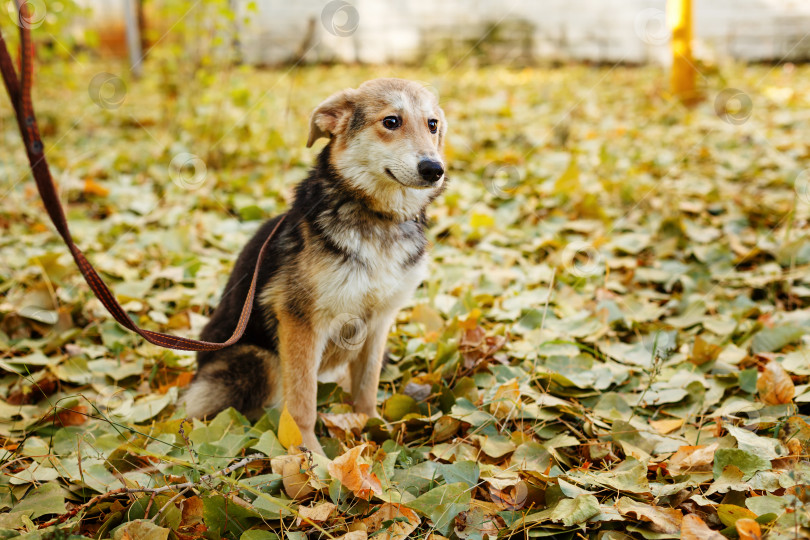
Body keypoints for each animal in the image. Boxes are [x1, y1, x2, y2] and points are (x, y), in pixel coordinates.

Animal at [181, 78, 448, 454]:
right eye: (391, 122)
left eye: (432, 124)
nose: (434, 169)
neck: (378, 219)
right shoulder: (302, 323)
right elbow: (302, 402)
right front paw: (308, 454)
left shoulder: (378, 322)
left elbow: (367, 387)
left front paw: (372, 429)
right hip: (261, 362)